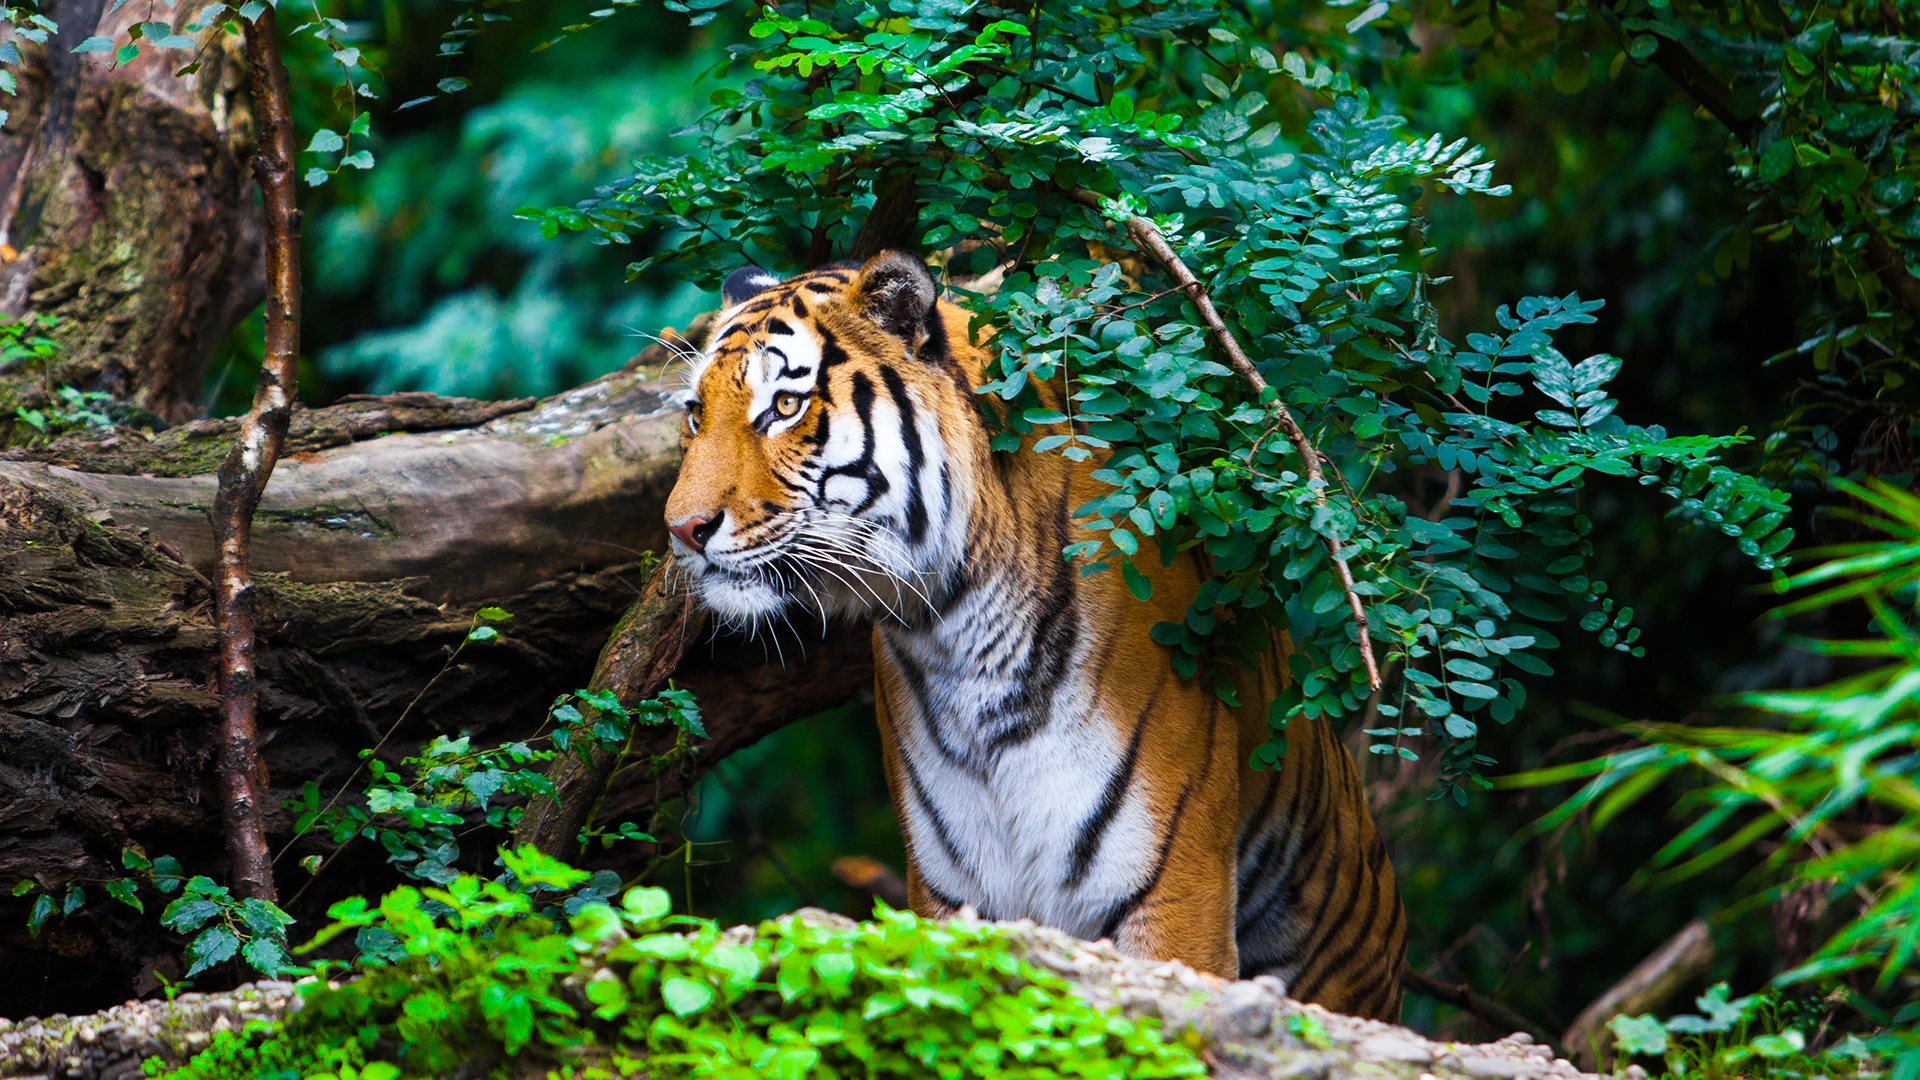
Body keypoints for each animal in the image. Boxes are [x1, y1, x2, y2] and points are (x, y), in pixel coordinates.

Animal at [662, 250, 1408, 1019]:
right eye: (695, 414)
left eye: (785, 407)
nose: (681, 529)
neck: (955, 632)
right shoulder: (953, 892)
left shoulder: (1175, 892)